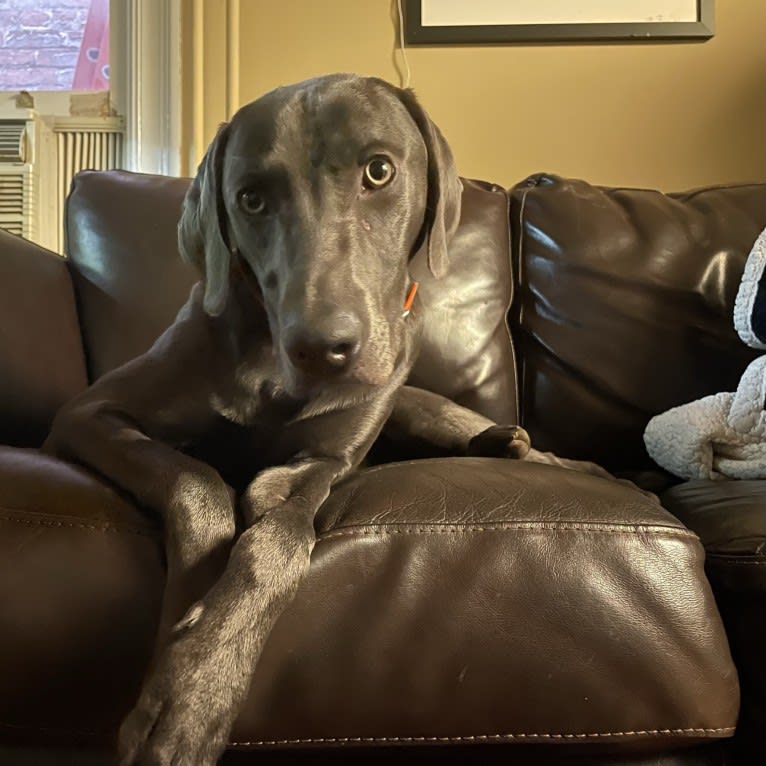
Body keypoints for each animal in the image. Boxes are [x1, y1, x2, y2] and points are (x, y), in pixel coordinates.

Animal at [45, 73, 640, 766]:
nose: (322, 348)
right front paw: (178, 660)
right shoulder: (88, 414)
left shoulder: (319, 465)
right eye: (250, 199)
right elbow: (198, 486)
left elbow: (276, 543)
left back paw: (553, 456)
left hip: (419, 405)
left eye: (379, 171)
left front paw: (195, 690)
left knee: (494, 438)